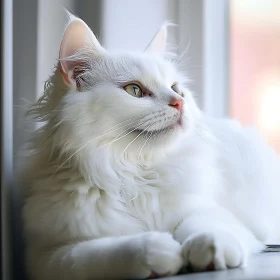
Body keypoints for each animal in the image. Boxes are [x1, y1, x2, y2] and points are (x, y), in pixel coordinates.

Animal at [21, 12, 280, 278]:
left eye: (176, 89)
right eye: (134, 90)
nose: (179, 103)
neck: (134, 174)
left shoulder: (206, 209)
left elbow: (205, 226)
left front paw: (209, 250)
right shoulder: (50, 255)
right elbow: (109, 251)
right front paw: (162, 252)